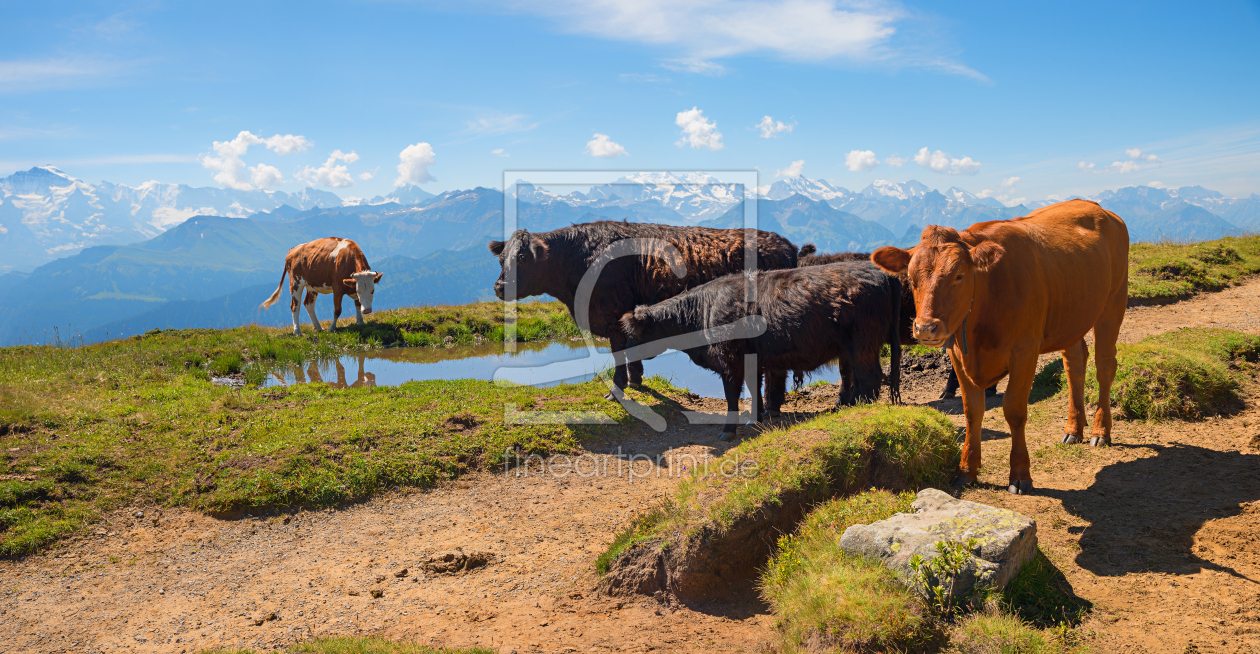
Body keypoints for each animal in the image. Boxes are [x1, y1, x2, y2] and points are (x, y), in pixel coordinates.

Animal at [486, 223, 801, 390]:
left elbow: (618, 353)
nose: (499, 287)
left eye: (522, 258)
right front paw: (636, 380)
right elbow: (631, 351)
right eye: (501, 258)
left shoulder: (613, 317)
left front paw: (619, 386)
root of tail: (784, 243)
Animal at [617, 260, 897, 441]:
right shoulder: (752, 360)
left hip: (862, 343)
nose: (626, 358)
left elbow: (732, 395)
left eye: (633, 335)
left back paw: (860, 408)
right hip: (851, 348)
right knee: (854, 377)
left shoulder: (730, 361)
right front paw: (757, 417)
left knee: (869, 378)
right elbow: (754, 388)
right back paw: (846, 405)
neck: (703, 311)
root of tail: (878, 273)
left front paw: (728, 431)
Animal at [871, 200, 1128, 496]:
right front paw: (966, 470)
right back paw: (1074, 429)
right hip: (1072, 316)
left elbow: (1014, 410)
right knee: (1075, 362)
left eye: (959, 276)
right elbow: (972, 411)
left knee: (1104, 365)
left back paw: (1100, 432)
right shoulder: (958, 354)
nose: (925, 328)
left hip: (1113, 303)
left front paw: (1020, 474)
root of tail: (1098, 208)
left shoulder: (1025, 351)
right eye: (911, 279)